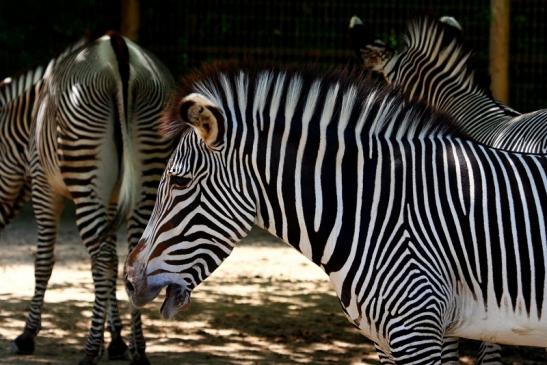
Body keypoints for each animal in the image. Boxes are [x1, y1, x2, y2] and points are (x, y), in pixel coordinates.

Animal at [1, 32, 173, 364]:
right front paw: (117, 340)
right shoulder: (113, 197)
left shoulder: (44, 188)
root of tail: (118, 49)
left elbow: (44, 262)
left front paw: (27, 335)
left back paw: (90, 350)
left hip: (83, 172)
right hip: (148, 176)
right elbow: (112, 260)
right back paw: (139, 351)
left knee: (103, 258)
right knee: (131, 256)